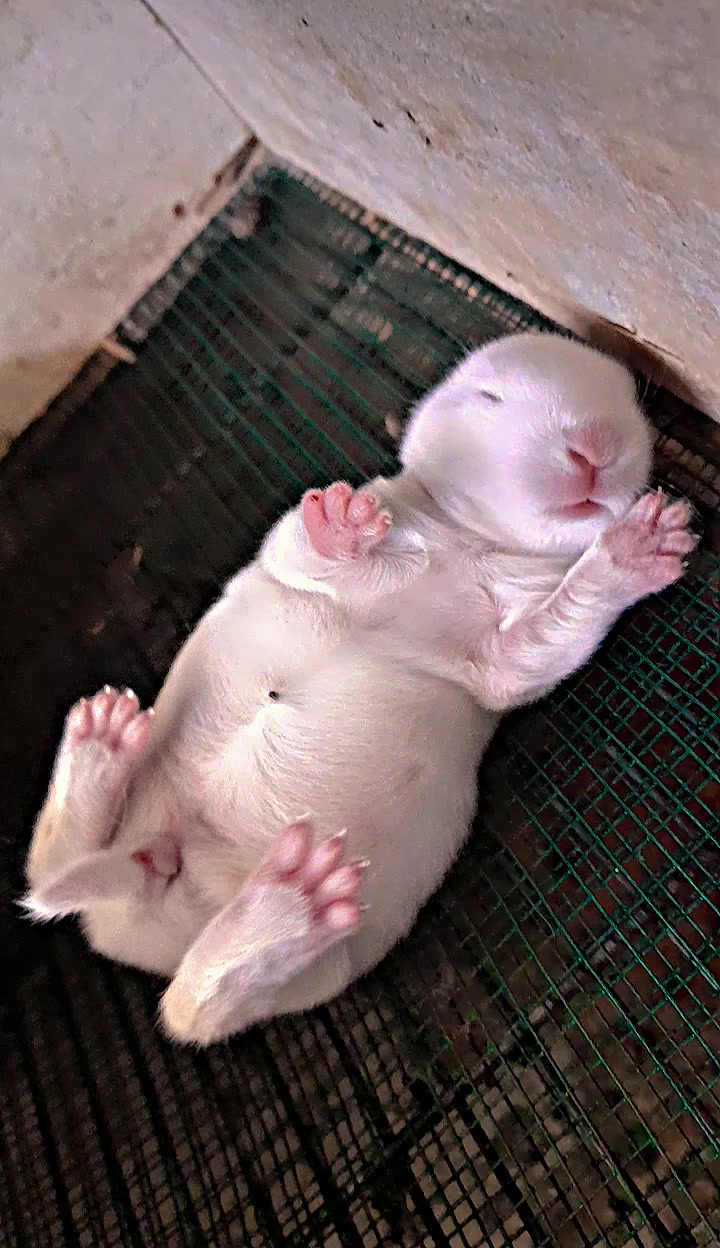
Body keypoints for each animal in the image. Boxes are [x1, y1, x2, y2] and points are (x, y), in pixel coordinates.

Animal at [23, 332, 696, 1045]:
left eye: (633, 402)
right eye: (489, 397)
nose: (596, 447)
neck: (466, 542)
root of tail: (143, 888)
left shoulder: (499, 651)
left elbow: (527, 659)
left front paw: (636, 547)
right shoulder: (327, 532)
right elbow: (296, 546)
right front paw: (342, 524)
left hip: (317, 968)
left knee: (189, 1008)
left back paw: (282, 906)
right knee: (66, 891)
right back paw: (102, 752)